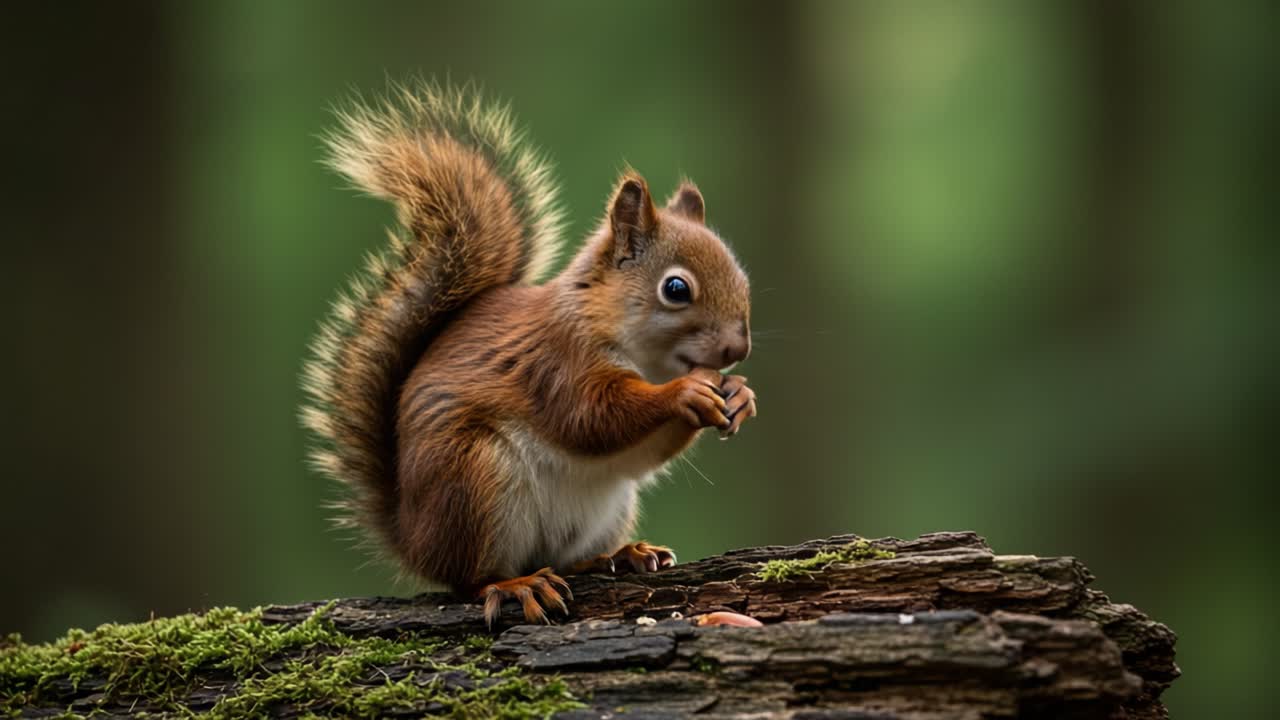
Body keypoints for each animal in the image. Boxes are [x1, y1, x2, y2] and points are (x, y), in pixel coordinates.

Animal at [301, 83, 756, 625]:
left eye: (744, 280)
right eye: (676, 289)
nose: (738, 348)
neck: (644, 358)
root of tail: (412, 538)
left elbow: (638, 452)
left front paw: (740, 396)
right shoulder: (557, 362)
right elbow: (593, 418)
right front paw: (686, 392)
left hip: (603, 507)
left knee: (564, 557)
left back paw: (618, 555)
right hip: (473, 481)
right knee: (470, 578)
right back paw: (516, 584)